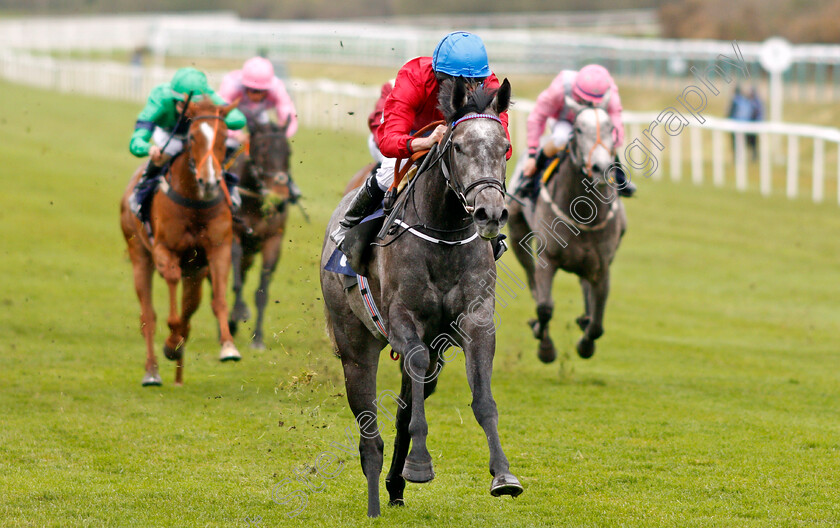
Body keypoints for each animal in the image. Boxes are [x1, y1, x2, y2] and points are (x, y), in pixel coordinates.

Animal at [120, 100, 243, 388]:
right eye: (193, 136)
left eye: (224, 137)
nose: (209, 182)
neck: (195, 204)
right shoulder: (164, 250)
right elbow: (171, 287)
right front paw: (172, 340)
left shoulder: (219, 249)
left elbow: (219, 299)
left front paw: (228, 346)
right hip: (139, 255)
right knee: (148, 317)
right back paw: (152, 371)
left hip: (195, 271)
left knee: (191, 304)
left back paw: (178, 367)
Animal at [228, 121, 294, 348]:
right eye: (263, 152)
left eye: (288, 152)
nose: (280, 199)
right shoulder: (234, 234)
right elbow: (236, 280)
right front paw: (239, 311)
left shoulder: (273, 240)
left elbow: (262, 292)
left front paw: (257, 337)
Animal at [320, 77, 520, 516]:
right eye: (457, 146)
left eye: (504, 147)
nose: (490, 213)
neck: (443, 233)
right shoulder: (402, 321)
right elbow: (412, 367)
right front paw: (420, 465)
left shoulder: (476, 322)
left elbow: (483, 399)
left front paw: (503, 475)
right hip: (354, 344)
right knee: (369, 429)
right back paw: (376, 499)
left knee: (405, 406)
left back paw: (395, 485)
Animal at [506, 96, 624, 364]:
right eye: (578, 129)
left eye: (611, 128)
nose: (601, 167)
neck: (584, 213)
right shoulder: (547, 259)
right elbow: (544, 307)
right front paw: (545, 346)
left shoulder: (602, 267)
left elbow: (598, 325)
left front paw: (585, 343)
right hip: (518, 234)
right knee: (532, 281)